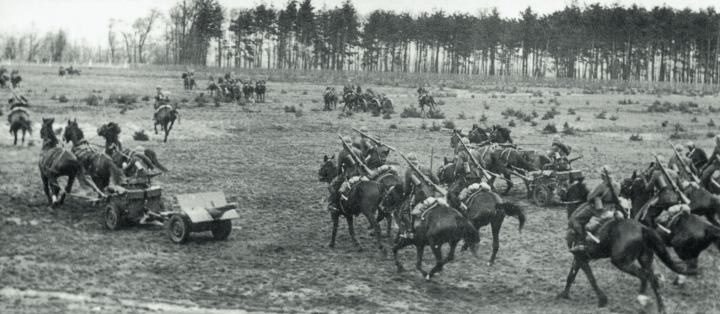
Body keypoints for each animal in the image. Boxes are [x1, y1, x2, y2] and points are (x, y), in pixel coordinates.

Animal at [556, 182, 696, 314]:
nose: (560, 196)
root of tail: (641, 228)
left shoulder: (581, 257)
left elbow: (590, 278)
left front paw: (602, 300)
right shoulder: (580, 257)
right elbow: (572, 275)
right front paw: (564, 295)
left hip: (621, 262)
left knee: (644, 276)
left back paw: (642, 302)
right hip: (645, 259)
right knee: (652, 279)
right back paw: (660, 307)